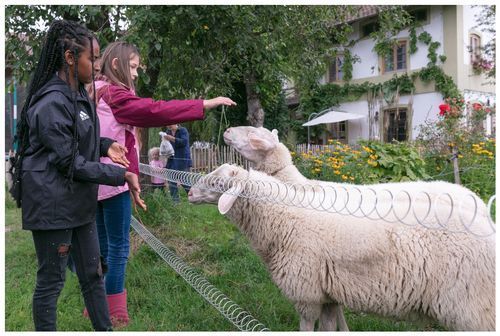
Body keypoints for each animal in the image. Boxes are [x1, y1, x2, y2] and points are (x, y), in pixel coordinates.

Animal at [188, 164, 496, 332]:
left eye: (217, 182)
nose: (189, 192)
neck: (284, 217)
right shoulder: (330, 292)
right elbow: (332, 326)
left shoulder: (306, 293)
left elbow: (307, 328)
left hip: (473, 308)